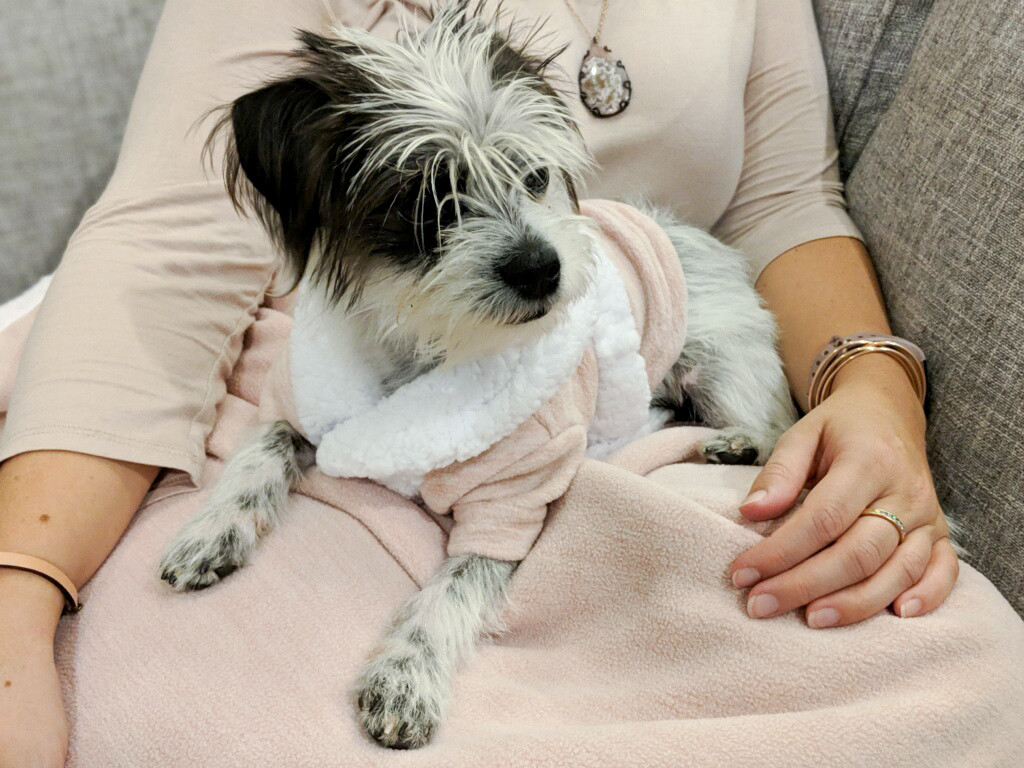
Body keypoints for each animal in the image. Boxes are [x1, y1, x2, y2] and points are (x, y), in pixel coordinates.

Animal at [161, 3, 798, 753]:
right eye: (424, 201)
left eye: (535, 177)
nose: (543, 268)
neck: (428, 346)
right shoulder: (309, 408)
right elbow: (260, 451)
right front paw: (212, 528)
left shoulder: (512, 502)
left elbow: (455, 585)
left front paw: (405, 675)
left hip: (715, 357)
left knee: (780, 419)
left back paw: (737, 443)